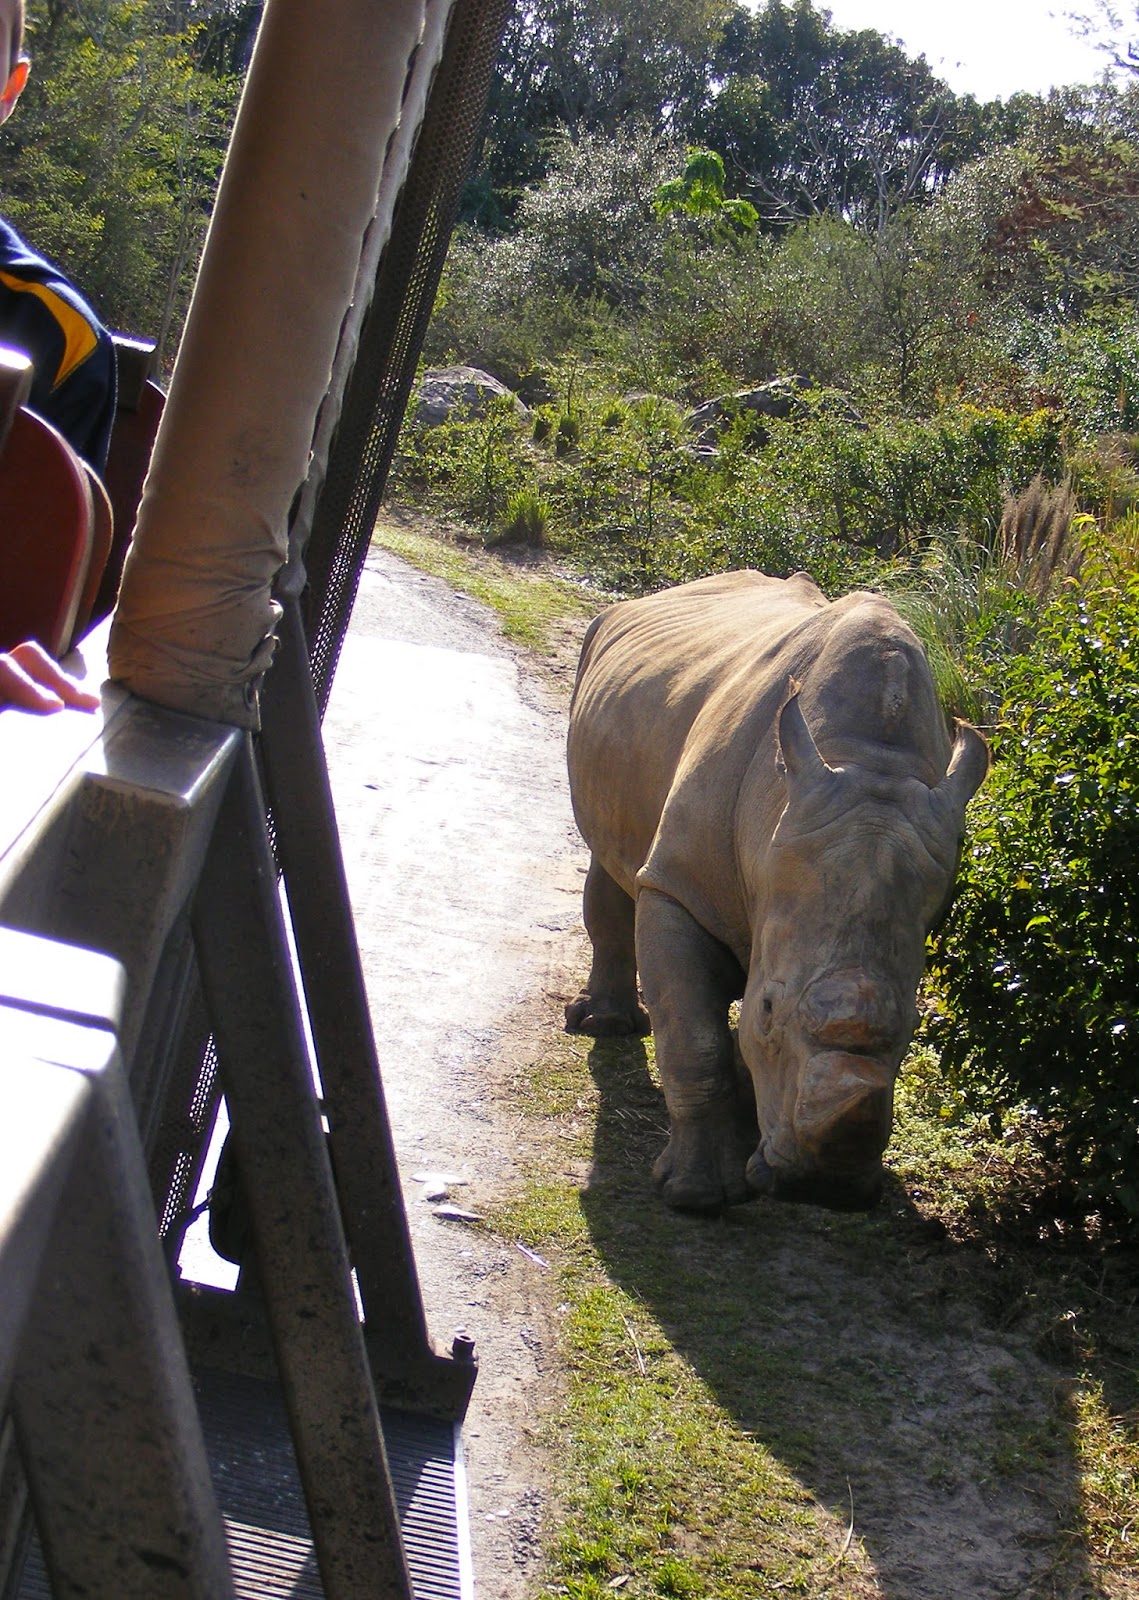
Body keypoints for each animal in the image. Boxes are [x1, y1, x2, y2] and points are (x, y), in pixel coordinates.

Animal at [566, 570, 988, 1213]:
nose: (827, 1187)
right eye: (768, 1009)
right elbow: (694, 1037)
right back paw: (605, 1026)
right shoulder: (679, 887)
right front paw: (699, 1196)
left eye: (915, 1027)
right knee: (613, 860)